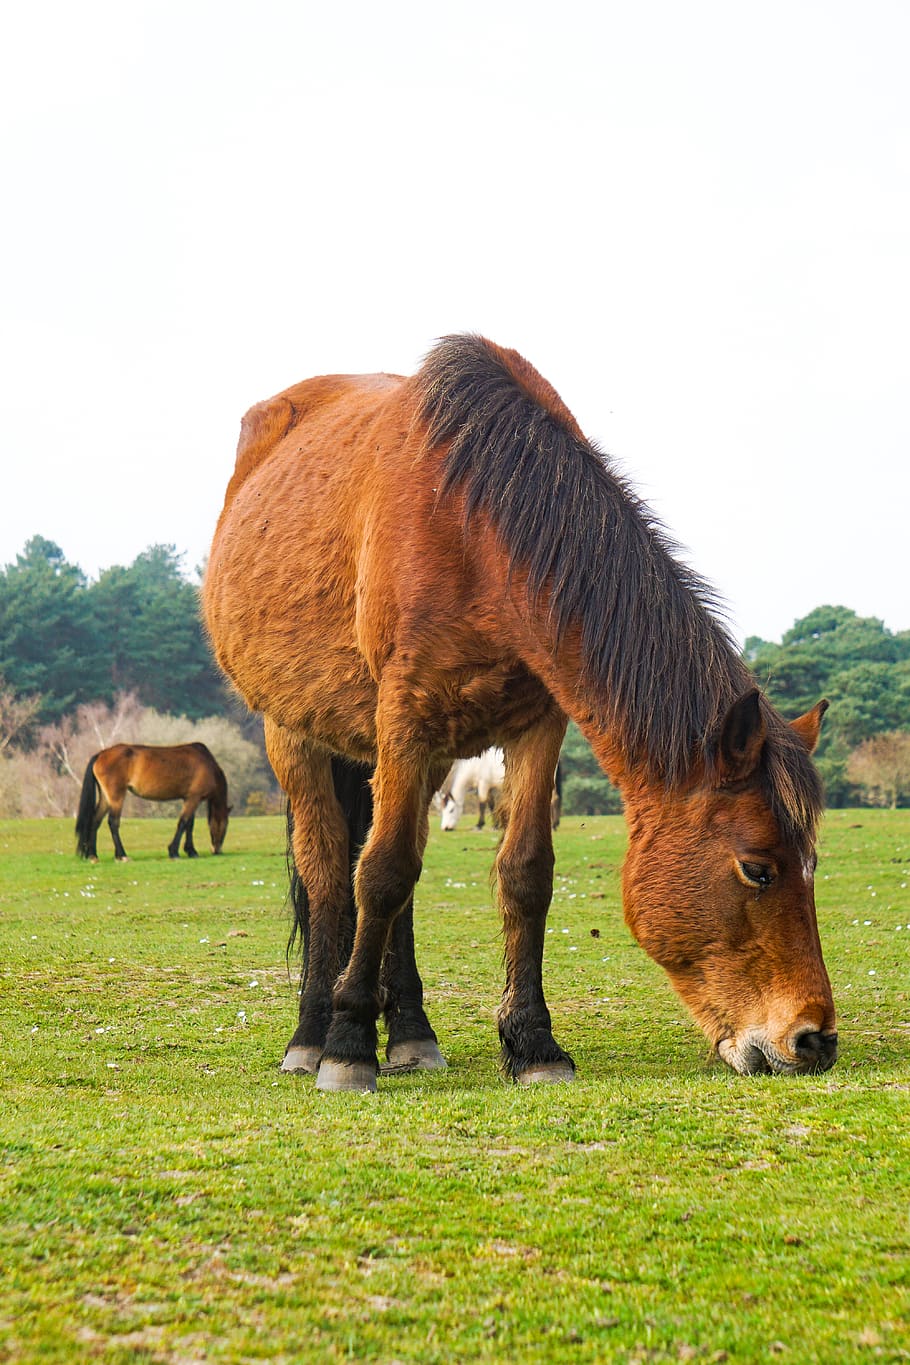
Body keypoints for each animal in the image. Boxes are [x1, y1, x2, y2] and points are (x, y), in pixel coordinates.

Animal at [75, 742, 230, 861]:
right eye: (226, 825)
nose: (217, 850)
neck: (207, 763)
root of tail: (101, 754)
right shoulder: (194, 798)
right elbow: (183, 823)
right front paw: (174, 851)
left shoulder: (189, 798)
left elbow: (189, 825)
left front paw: (191, 851)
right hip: (116, 797)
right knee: (113, 822)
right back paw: (122, 855)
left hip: (106, 798)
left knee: (95, 820)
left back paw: (93, 855)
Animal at [203, 333, 836, 1092]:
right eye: (757, 869)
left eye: (813, 863)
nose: (814, 1039)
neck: (472, 522)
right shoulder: (402, 720)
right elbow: (376, 875)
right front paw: (348, 1042)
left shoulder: (534, 727)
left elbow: (523, 873)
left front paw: (533, 1042)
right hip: (294, 734)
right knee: (330, 873)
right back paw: (311, 1035)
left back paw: (411, 1031)